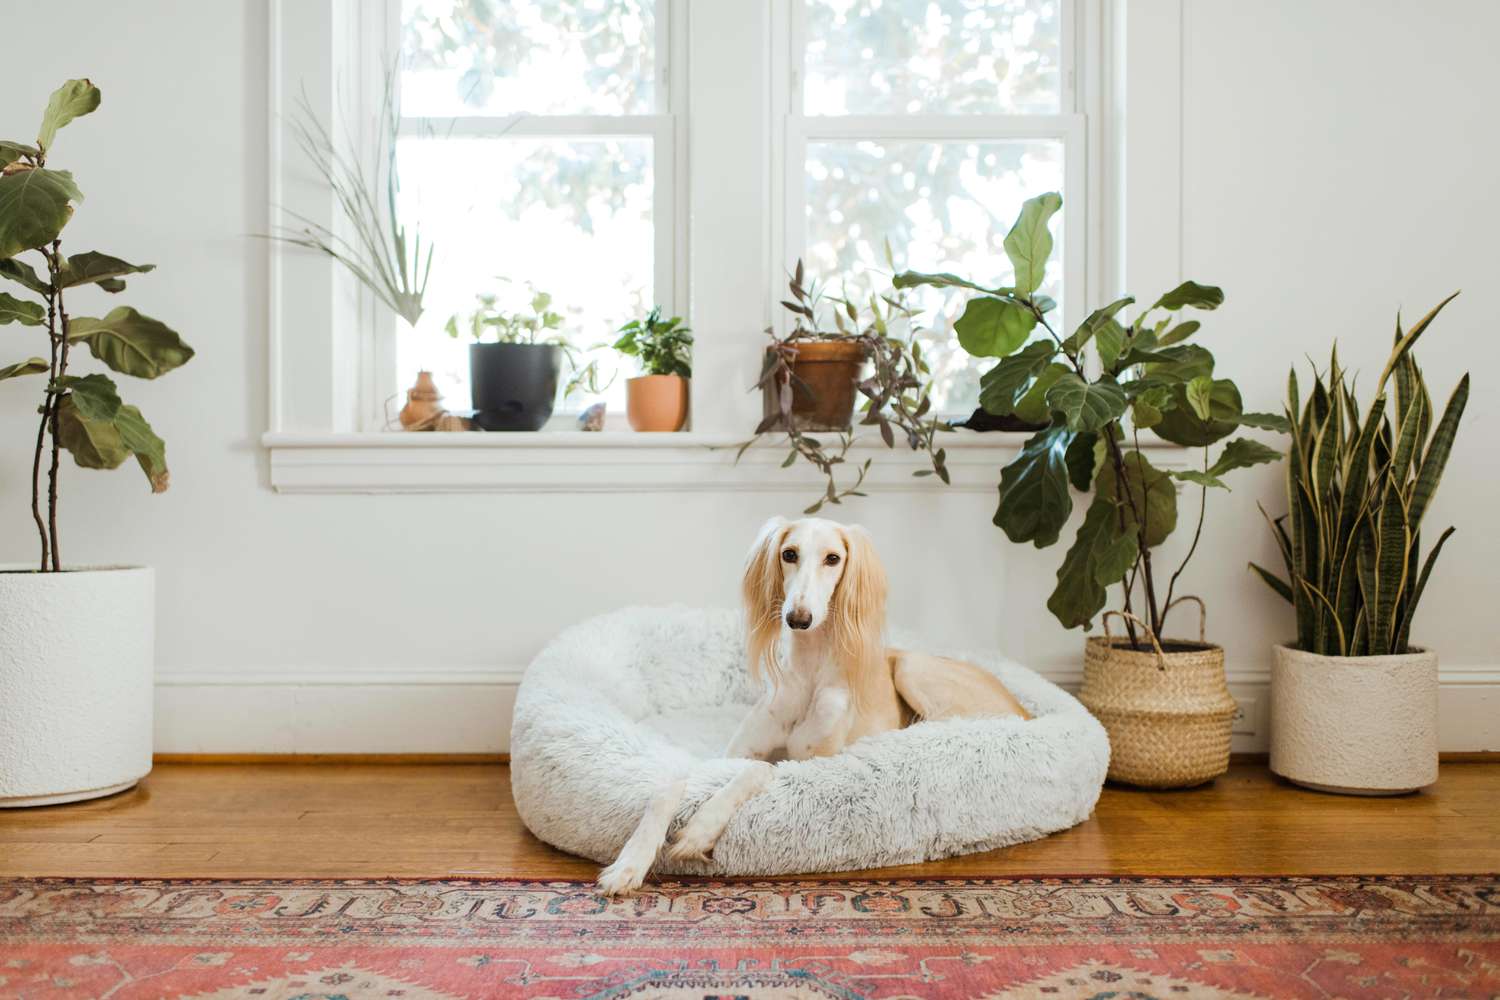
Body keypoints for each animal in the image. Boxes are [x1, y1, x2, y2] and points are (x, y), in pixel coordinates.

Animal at [597, 515, 1032, 893]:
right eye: (789, 553)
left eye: (833, 558)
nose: (798, 618)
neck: (808, 675)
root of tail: (1026, 710)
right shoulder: (728, 755)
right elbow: (671, 785)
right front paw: (629, 864)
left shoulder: (814, 766)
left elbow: (760, 769)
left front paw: (700, 830)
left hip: (913, 668)